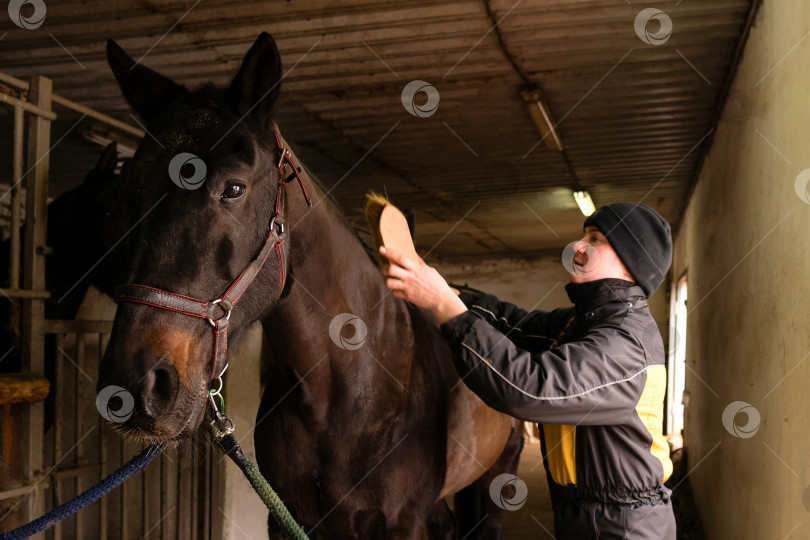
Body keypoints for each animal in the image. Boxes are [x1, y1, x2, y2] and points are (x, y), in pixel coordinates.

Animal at [96, 34, 524, 540]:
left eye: (233, 188)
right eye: (124, 196)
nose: (133, 386)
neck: (348, 394)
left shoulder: (403, 523)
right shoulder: (287, 519)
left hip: (497, 475)